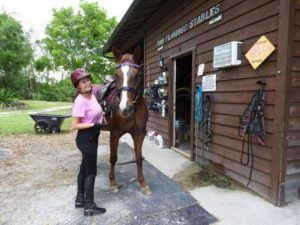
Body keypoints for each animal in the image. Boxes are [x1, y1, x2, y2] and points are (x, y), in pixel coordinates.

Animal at [96, 45, 151, 195]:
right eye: (116, 74)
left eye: (137, 74)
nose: (125, 108)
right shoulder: (114, 134)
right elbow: (113, 158)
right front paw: (112, 183)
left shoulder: (139, 134)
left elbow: (138, 158)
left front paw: (143, 183)